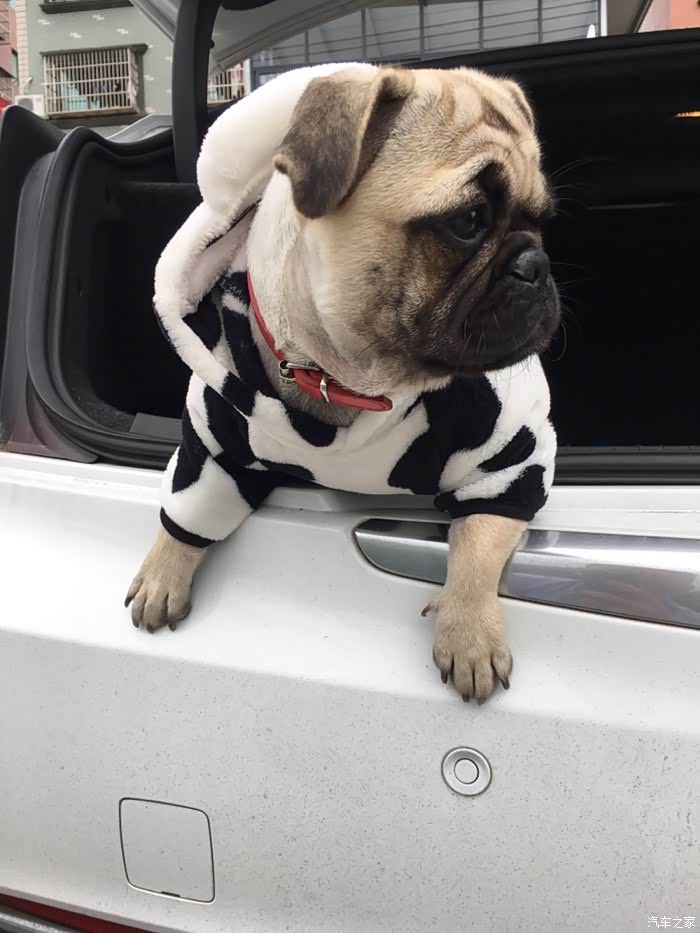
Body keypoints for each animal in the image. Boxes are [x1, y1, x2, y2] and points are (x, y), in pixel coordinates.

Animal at [126, 64, 560, 705]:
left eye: (543, 221)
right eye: (467, 223)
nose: (537, 264)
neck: (348, 375)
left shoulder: (505, 461)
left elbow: (478, 544)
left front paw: (469, 632)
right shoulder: (216, 443)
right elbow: (186, 510)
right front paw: (162, 570)